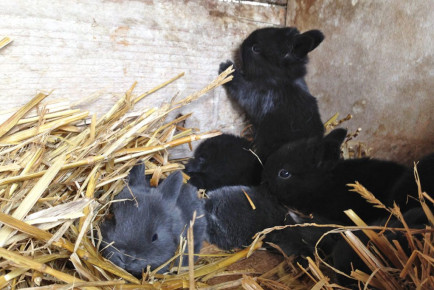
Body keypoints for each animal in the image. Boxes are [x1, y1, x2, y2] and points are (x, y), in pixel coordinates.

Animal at [220, 26, 326, 160]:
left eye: (256, 49)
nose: (243, 43)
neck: (279, 79)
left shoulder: (254, 94)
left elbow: (240, 85)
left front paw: (226, 68)